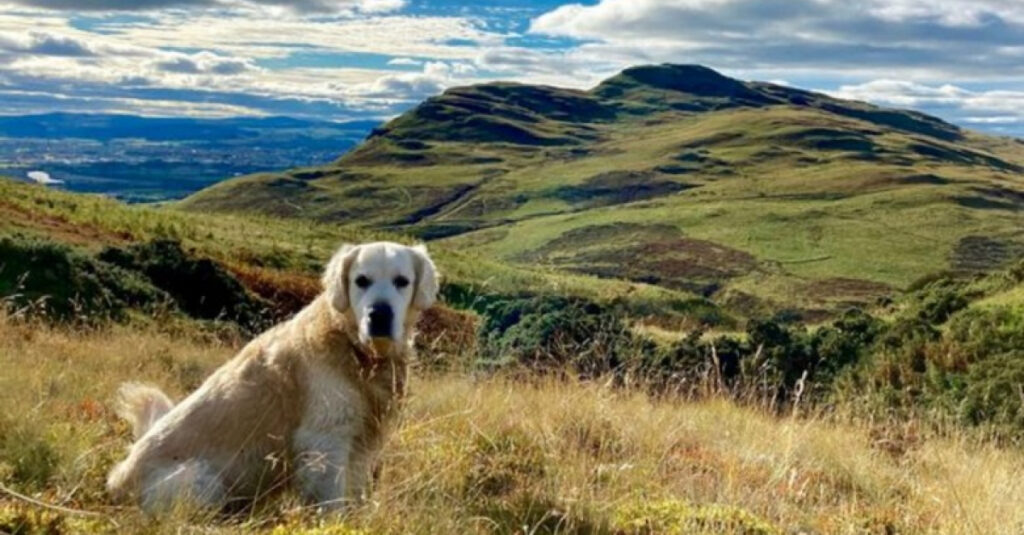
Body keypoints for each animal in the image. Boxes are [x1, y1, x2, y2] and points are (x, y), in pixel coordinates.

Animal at [105, 239, 438, 510]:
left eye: (402, 281)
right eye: (361, 281)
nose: (378, 315)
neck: (356, 350)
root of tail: (117, 480)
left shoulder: (360, 445)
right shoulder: (324, 441)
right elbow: (332, 502)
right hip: (202, 482)